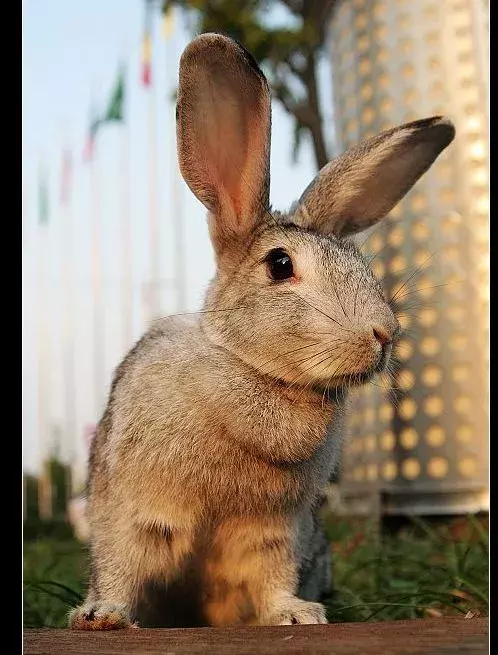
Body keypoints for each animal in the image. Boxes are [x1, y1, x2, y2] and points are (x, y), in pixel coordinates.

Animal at [68, 33, 455, 630]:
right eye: (279, 265)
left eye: (360, 263)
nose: (385, 333)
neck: (252, 368)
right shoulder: (133, 514)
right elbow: (122, 566)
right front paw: (101, 616)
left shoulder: (276, 531)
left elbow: (272, 576)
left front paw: (298, 615)